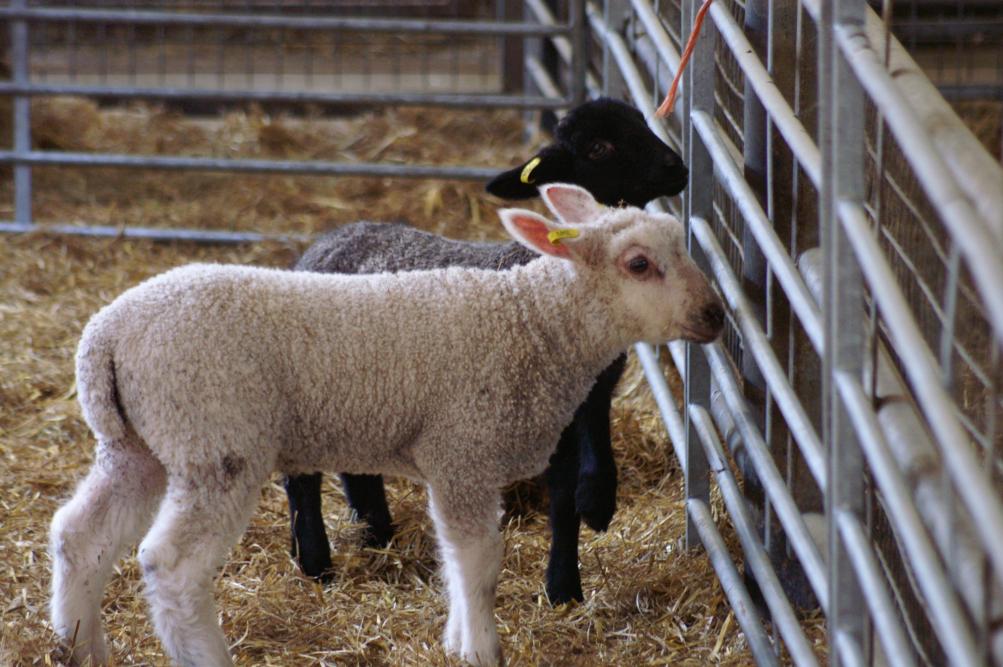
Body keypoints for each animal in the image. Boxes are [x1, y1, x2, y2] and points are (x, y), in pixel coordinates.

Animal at [49, 183, 724, 667]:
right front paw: (481, 649)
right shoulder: (464, 450)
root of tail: (105, 334)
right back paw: (205, 656)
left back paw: (81, 646)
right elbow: (481, 561)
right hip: (216, 441)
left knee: (79, 534)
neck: (532, 321)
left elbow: (455, 556)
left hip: (138, 444)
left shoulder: (452, 462)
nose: (716, 314)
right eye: (639, 264)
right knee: (171, 565)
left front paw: (456, 638)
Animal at [284, 97, 691, 604]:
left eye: (641, 122)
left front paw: (597, 508)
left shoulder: (595, 393)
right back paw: (316, 561)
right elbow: (560, 493)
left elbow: (589, 466)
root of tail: (319, 246)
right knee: (301, 475)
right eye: (599, 147)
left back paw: (375, 535)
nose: (677, 167)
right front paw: (563, 584)